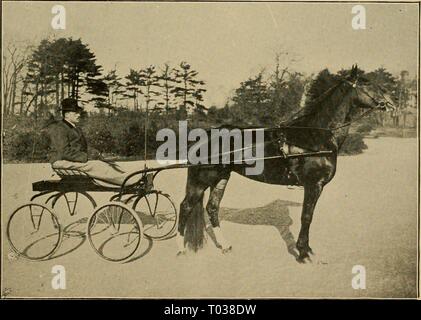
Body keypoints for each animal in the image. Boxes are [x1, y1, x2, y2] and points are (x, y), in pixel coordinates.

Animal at [176, 66, 394, 264]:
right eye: (366, 83)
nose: (391, 103)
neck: (314, 136)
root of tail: (203, 135)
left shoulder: (316, 186)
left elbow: (309, 216)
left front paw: (307, 249)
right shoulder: (313, 185)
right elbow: (307, 217)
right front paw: (303, 253)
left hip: (221, 177)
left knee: (212, 208)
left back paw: (225, 245)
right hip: (202, 180)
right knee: (185, 206)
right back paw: (180, 249)